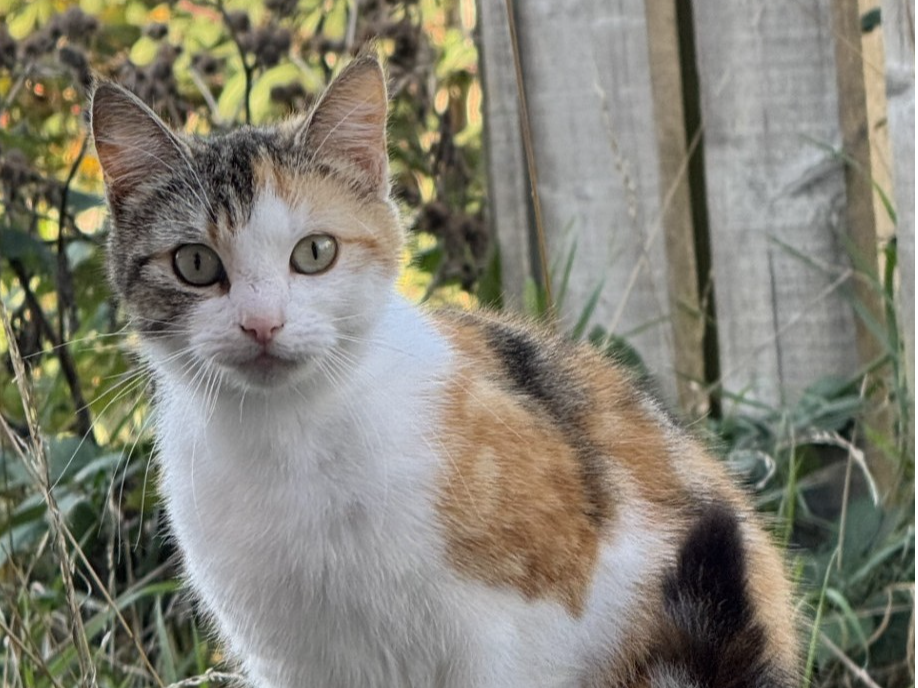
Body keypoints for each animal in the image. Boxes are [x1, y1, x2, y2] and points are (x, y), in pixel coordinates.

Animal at [91, 53, 796, 688]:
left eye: (315, 252)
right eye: (195, 264)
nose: (262, 324)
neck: (289, 436)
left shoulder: (518, 629)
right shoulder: (284, 659)